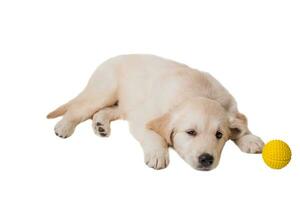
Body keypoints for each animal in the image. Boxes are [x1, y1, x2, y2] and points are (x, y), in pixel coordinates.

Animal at [47, 54, 264, 170]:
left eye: (219, 135)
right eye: (191, 132)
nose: (206, 159)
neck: (199, 93)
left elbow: (241, 125)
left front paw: (250, 139)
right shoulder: (143, 118)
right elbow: (154, 135)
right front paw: (158, 154)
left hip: (125, 102)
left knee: (104, 111)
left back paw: (101, 125)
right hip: (104, 91)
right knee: (79, 108)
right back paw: (64, 126)